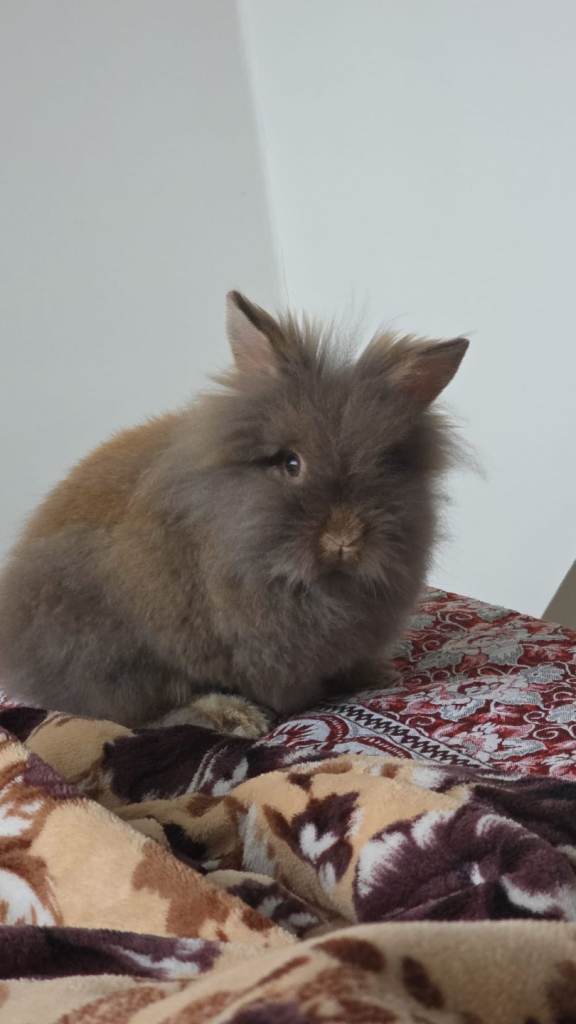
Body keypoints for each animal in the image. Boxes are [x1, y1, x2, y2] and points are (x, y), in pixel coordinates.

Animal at [0, 291, 468, 736]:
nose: (344, 540)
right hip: (111, 652)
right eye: (291, 463)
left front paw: (374, 672)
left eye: (386, 466)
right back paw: (234, 717)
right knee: (143, 709)